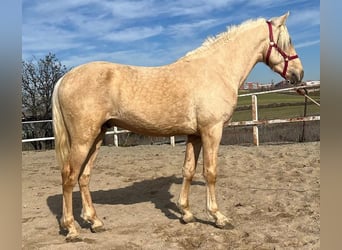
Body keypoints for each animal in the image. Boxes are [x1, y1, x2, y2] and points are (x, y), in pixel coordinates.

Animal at [52, 12, 304, 239]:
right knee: (69, 176)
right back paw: (72, 229)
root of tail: (64, 78)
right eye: (287, 41)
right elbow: (210, 172)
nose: (299, 73)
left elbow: (189, 170)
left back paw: (95, 222)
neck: (217, 70)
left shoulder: (195, 135)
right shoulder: (212, 131)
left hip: (96, 138)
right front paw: (218, 217)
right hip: (83, 140)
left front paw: (187, 214)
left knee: (84, 177)